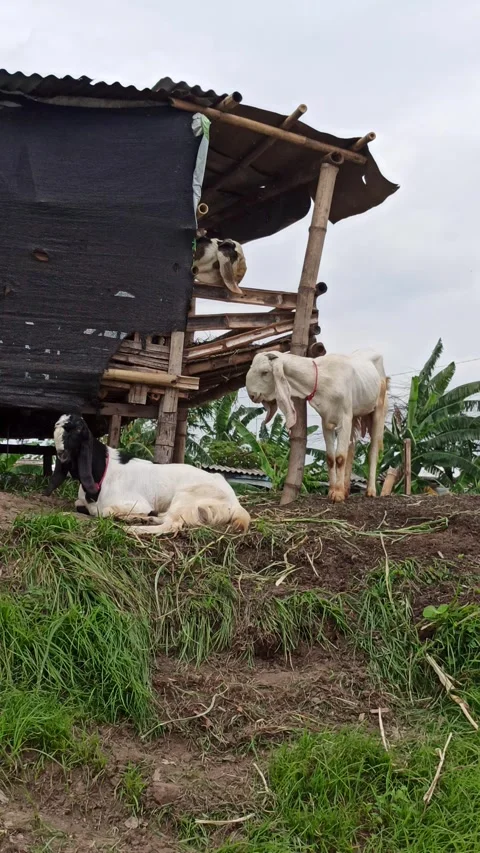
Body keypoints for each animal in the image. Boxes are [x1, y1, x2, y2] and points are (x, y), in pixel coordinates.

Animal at [45, 414, 251, 536]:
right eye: (56, 428)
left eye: (78, 430)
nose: (62, 454)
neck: (103, 470)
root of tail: (236, 503)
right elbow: (79, 504)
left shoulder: (136, 502)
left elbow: (103, 511)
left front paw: (128, 517)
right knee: (165, 518)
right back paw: (145, 518)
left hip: (187, 497)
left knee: (171, 524)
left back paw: (132, 526)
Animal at [245, 350, 389, 503]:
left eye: (265, 372)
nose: (252, 395)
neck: (321, 378)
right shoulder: (326, 422)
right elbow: (331, 458)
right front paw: (332, 491)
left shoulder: (344, 419)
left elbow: (340, 457)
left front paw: (338, 494)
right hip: (354, 415)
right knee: (351, 448)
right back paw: (346, 490)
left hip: (378, 410)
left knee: (373, 450)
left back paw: (370, 491)